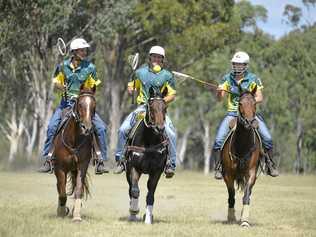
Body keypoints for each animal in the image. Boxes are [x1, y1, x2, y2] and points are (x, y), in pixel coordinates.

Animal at [53, 87, 95, 222]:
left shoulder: (82, 166)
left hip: (75, 169)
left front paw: (76, 215)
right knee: (60, 188)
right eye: (80, 104)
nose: (87, 128)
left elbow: (78, 190)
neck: (74, 140)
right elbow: (62, 193)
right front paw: (61, 211)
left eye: (94, 105)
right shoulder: (60, 168)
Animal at [124, 87, 169, 224]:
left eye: (165, 107)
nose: (160, 128)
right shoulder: (133, 167)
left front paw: (148, 218)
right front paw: (134, 211)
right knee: (130, 189)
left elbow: (150, 194)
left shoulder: (156, 171)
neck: (149, 141)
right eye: (151, 107)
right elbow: (134, 191)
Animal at [221, 90, 260, 227]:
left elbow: (246, 195)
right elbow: (231, 195)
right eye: (241, 103)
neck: (242, 146)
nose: (249, 122)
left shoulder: (251, 173)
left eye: (254, 103)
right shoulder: (228, 174)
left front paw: (244, 221)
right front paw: (231, 218)